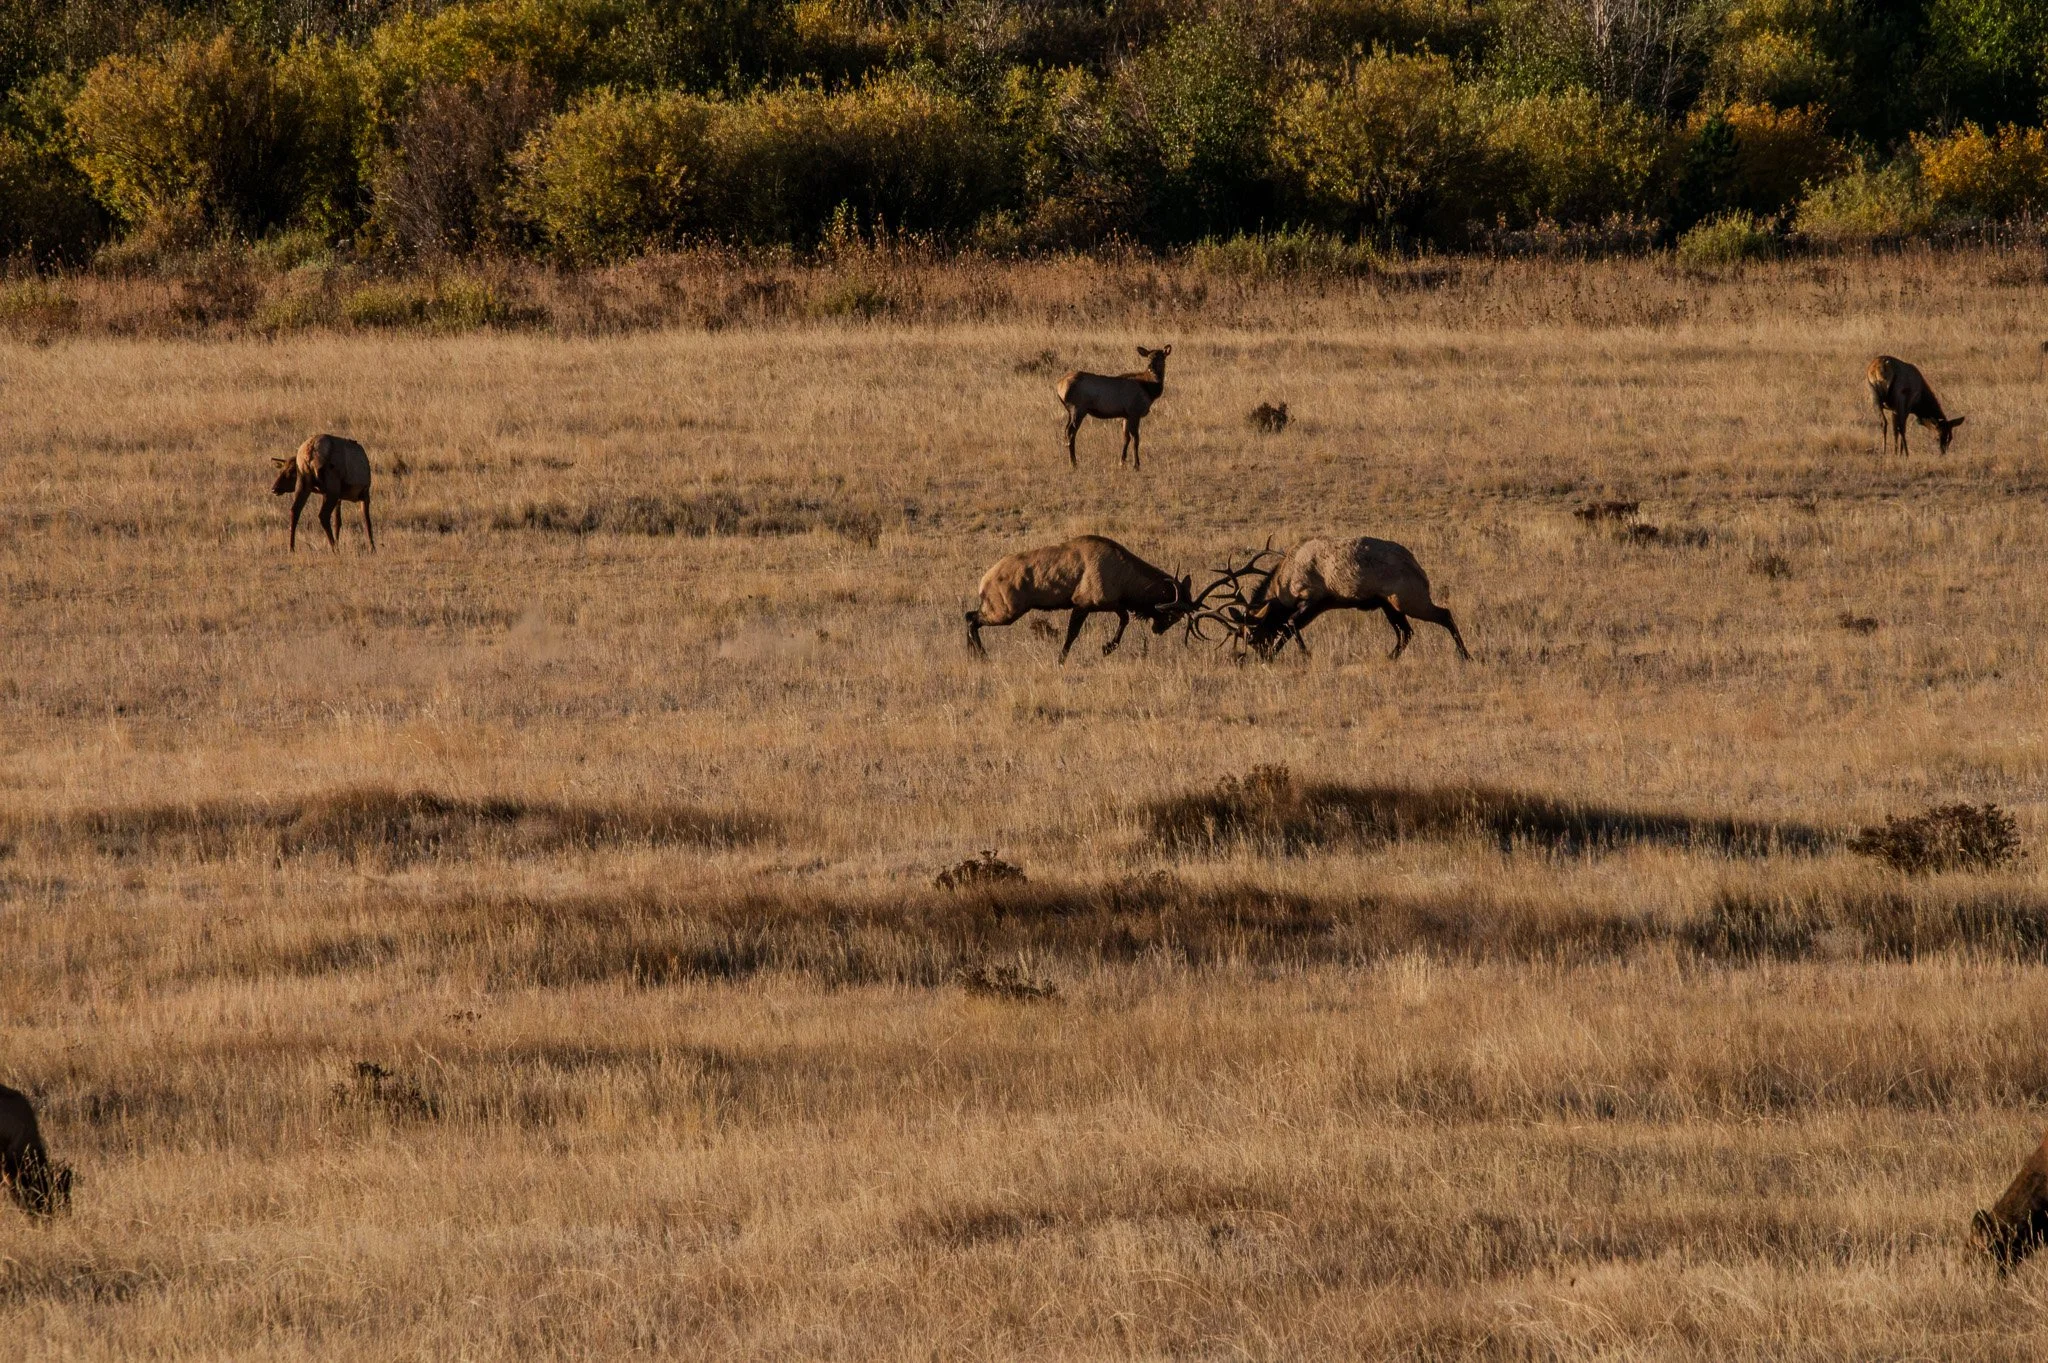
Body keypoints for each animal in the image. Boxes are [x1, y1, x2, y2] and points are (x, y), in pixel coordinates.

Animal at [965, 535, 1221, 662]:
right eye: (1171, 613)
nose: (1158, 630)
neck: (1125, 581)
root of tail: (983, 581)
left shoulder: (1112, 603)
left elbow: (1124, 619)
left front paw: (1107, 647)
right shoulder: (1084, 603)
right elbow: (1072, 634)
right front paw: (1062, 659)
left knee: (969, 615)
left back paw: (974, 653)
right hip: (1006, 610)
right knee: (971, 617)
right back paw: (981, 655)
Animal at [1199, 536, 1470, 663]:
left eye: (1252, 635)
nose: (1261, 656)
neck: (1283, 587)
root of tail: (1420, 570)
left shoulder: (1312, 597)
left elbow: (1290, 624)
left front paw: (1301, 654)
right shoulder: (1320, 604)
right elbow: (1290, 626)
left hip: (1407, 599)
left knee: (1444, 614)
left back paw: (1465, 655)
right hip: (1389, 605)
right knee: (1406, 632)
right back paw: (1390, 657)